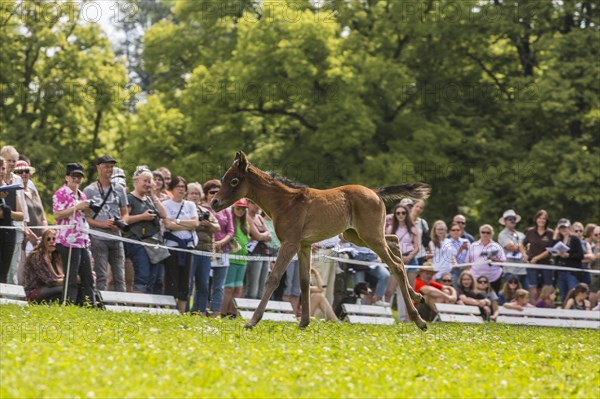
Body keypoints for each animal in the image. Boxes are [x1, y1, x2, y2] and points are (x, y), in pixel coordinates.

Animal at [211, 152, 432, 332]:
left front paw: (252, 321)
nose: (214, 202)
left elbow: (273, 278)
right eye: (223, 179)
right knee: (394, 242)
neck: (284, 203)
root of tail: (375, 192)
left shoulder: (290, 243)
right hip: (358, 236)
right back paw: (417, 296)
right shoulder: (304, 245)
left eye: (234, 181)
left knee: (396, 265)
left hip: (370, 236)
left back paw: (419, 320)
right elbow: (304, 281)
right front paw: (304, 322)